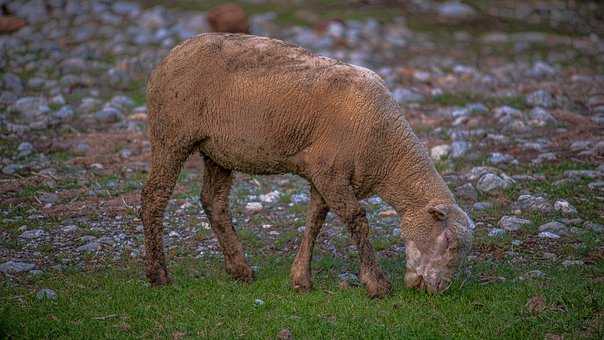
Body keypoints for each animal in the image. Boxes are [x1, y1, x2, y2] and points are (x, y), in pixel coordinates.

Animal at [143, 32, 476, 298]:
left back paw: (240, 269)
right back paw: (158, 275)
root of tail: (170, 55)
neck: (387, 152)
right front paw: (376, 284)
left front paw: (301, 279)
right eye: (447, 241)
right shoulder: (330, 171)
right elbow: (357, 220)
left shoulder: (324, 173)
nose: (438, 289)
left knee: (213, 201)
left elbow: (315, 219)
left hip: (217, 150)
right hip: (171, 135)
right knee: (153, 198)